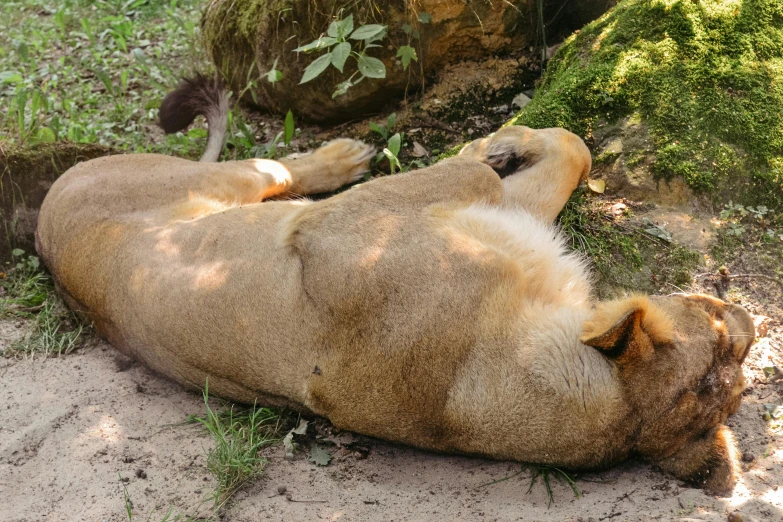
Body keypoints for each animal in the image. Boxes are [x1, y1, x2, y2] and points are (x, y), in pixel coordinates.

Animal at [35, 76, 752, 492]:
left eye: (734, 353)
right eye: (723, 335)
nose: (746, 318)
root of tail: (41, 228)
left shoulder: (340, 224)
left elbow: (507, 167)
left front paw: (497, 142)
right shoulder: (357, 226)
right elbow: (566, 149)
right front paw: (504, 139)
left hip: (219, 184)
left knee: (273, 167)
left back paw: (346, 155)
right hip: (214, 186)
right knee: (274, 168)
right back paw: (351, 153)